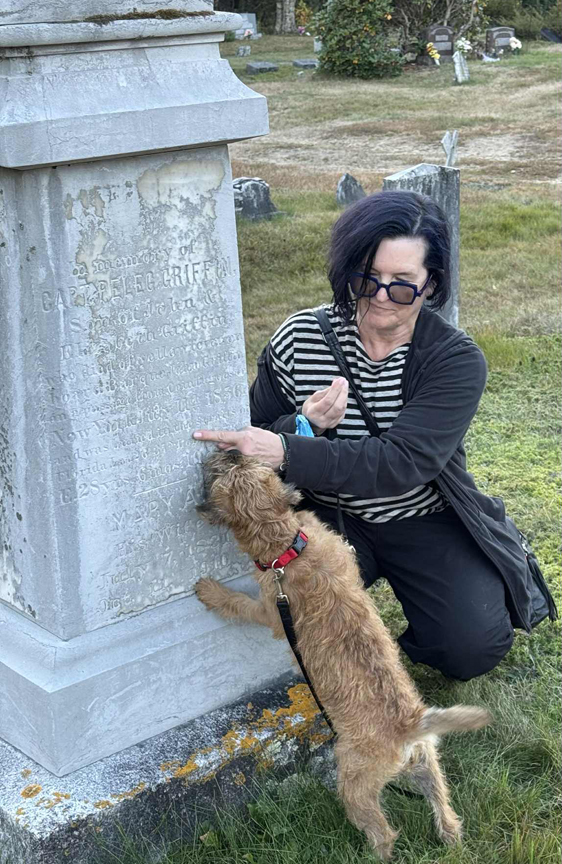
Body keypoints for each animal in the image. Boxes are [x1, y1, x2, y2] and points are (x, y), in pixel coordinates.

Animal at [195, 451, 491, 860]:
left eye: (221, 473)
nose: (231, 450)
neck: (287, 545)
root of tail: (410, 726)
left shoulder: (269, 609)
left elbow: (238, 603)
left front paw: (211, 591)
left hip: (353, 782)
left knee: (383, 833)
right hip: (428, 765)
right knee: (443, 806)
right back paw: (450, 837)